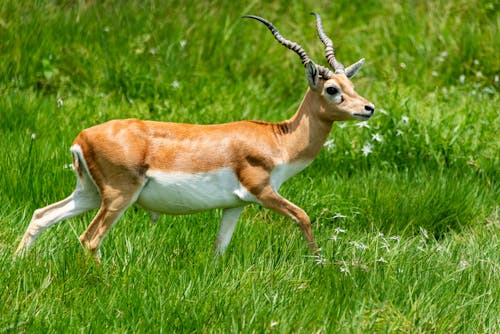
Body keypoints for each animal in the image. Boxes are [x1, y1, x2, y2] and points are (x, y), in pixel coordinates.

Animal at [13, 12, 374, 258]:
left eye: (351, 84)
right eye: (331, 89)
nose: (368, 108)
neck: (278, 139)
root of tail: (82, 137)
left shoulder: (235, 204)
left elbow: (219, 248)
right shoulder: (262, 191)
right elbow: (304, 217)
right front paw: (319, 263)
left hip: (89, 193)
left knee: (42, 215)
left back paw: (19, 261)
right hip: (118, 196)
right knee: (89, 239)